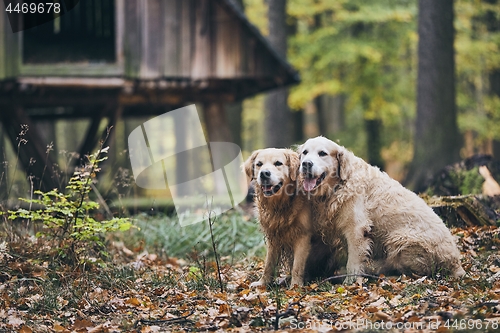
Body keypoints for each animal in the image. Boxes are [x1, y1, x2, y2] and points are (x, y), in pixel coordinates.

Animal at [296, 136, 464, 282]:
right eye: (305, 152)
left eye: (322, 153)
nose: (306, 164)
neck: (337, 186)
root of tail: (456, 263)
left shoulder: (356, 229)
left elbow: (353, 261)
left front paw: (351, 282)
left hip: (399, 238)